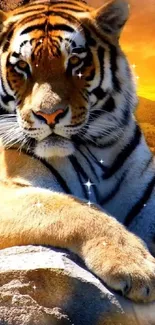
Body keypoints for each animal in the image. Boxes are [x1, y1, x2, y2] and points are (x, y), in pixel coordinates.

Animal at [0, 0, 155, 306]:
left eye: (74, 62)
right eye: (22, 66)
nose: (49, 115)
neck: (99, 148)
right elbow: (73, 208)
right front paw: (136, 266)